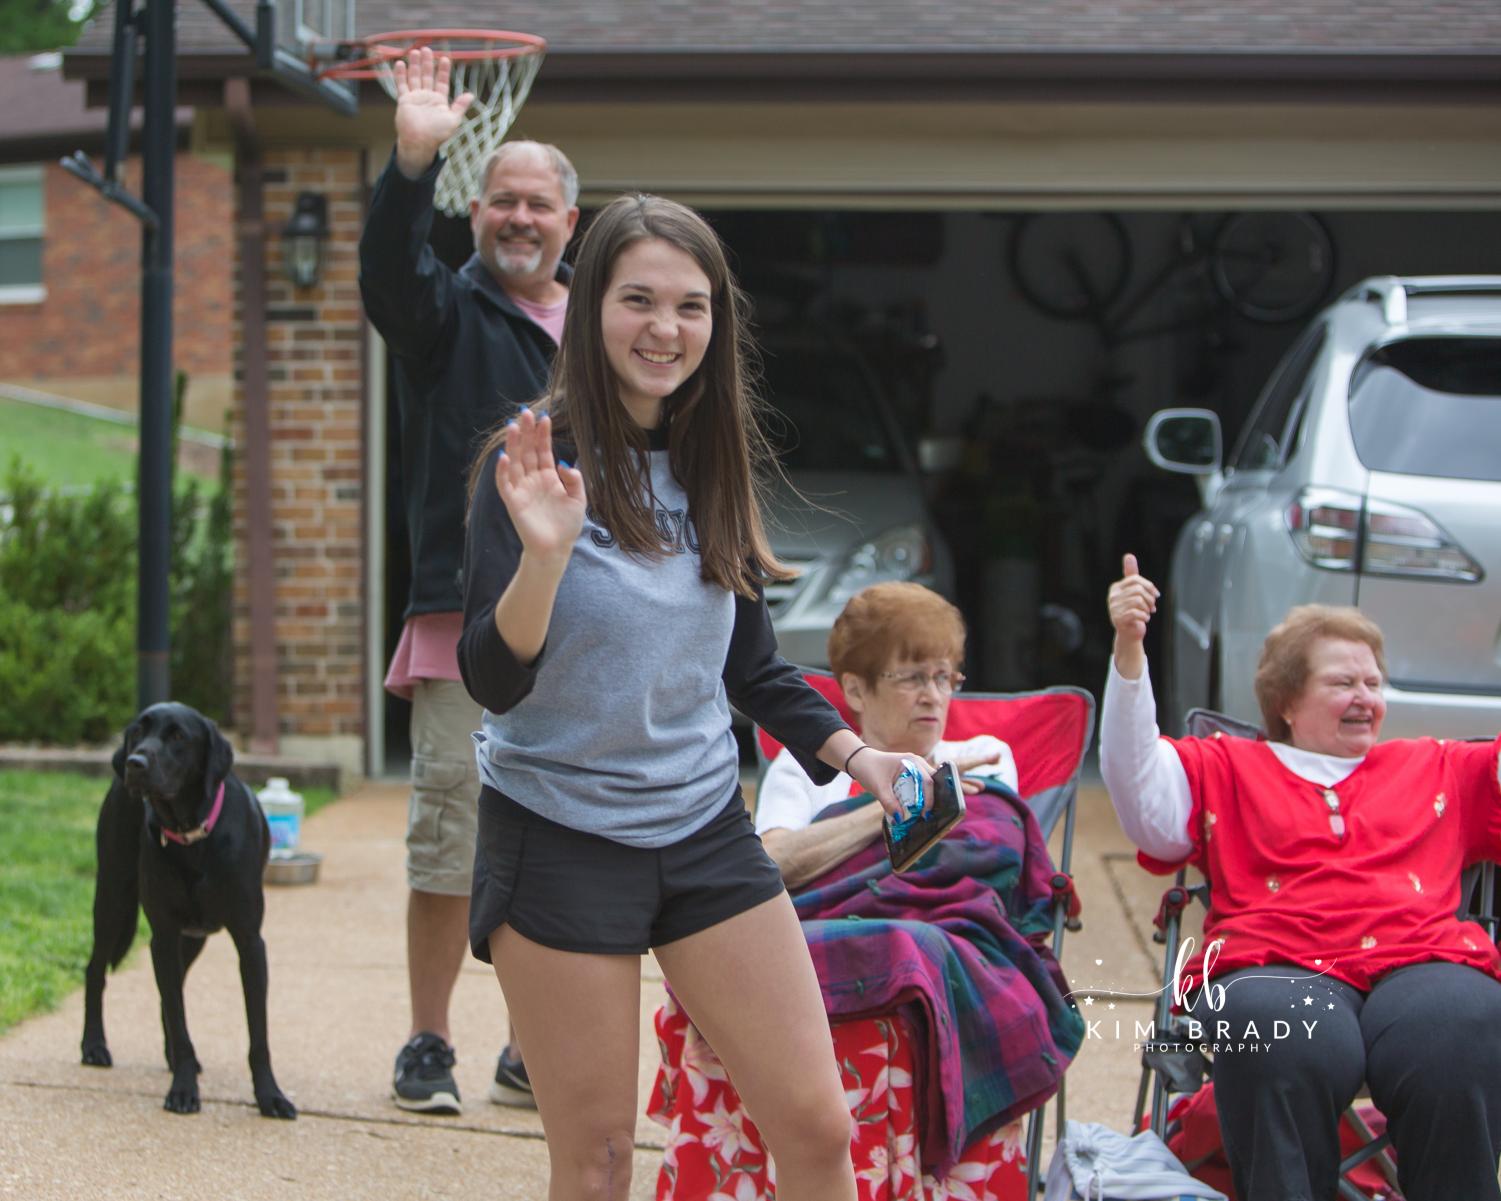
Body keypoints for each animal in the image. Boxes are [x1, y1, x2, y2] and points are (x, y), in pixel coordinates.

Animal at [79, 702, 295, 1116]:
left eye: (179, 736)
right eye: (137, 731)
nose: (134, 762)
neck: (191, 833)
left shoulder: (250, 942)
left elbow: (257, 1033)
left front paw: (270, 1096)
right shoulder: (162, 936)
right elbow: (179, 1019)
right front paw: (182, 1090)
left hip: (193, 937)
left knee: (172, 988)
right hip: (112, 897)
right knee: (96, 970)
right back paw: (94, 1046)